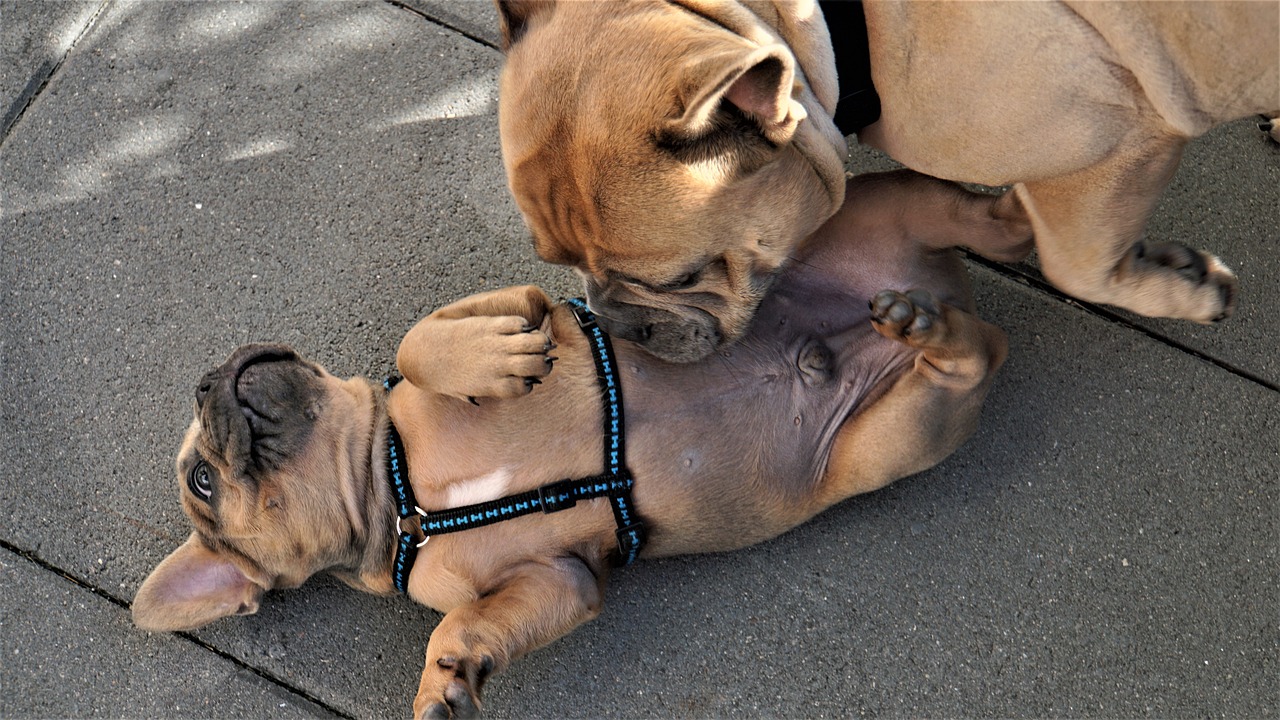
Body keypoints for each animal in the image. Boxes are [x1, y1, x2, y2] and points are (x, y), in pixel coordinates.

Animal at [135, 170, 1018, 712]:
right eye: (203, 482)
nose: (207, 379)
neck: (396, 490)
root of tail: (939, 287)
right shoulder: (556, 580)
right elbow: (470, 624)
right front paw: (445, 678)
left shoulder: (519, 303)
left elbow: (421, 342)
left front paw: (489, 362)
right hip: (888, 433)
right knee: (978, 325)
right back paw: (938, 306)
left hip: (862, 248)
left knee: (963, 259)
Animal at [496, 0, 1280, 358]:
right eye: (557, 260)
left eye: (682, 279)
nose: (620, 326)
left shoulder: (1126, 131)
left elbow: (1075, 263)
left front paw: (1182, 287)